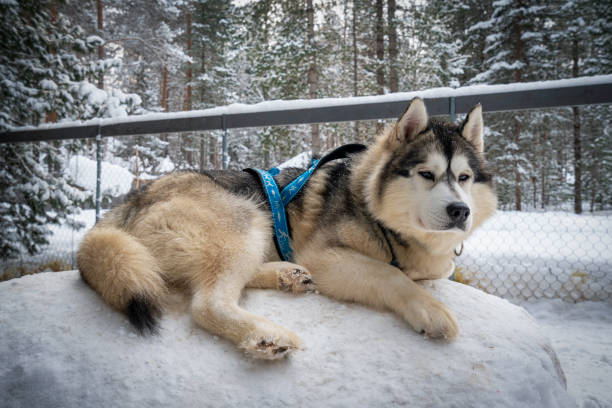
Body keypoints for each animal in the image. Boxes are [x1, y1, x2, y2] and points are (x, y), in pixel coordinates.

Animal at [76, 99, 498, 360]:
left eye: (464, 177)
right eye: (426, 174)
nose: (460, 210)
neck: (376, 212)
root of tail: (131, 200)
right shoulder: (327, 257)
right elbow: (390, 275)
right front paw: (430, 310)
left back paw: (285, 275)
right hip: (246, 217)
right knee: (207, 303)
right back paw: (266, 336)